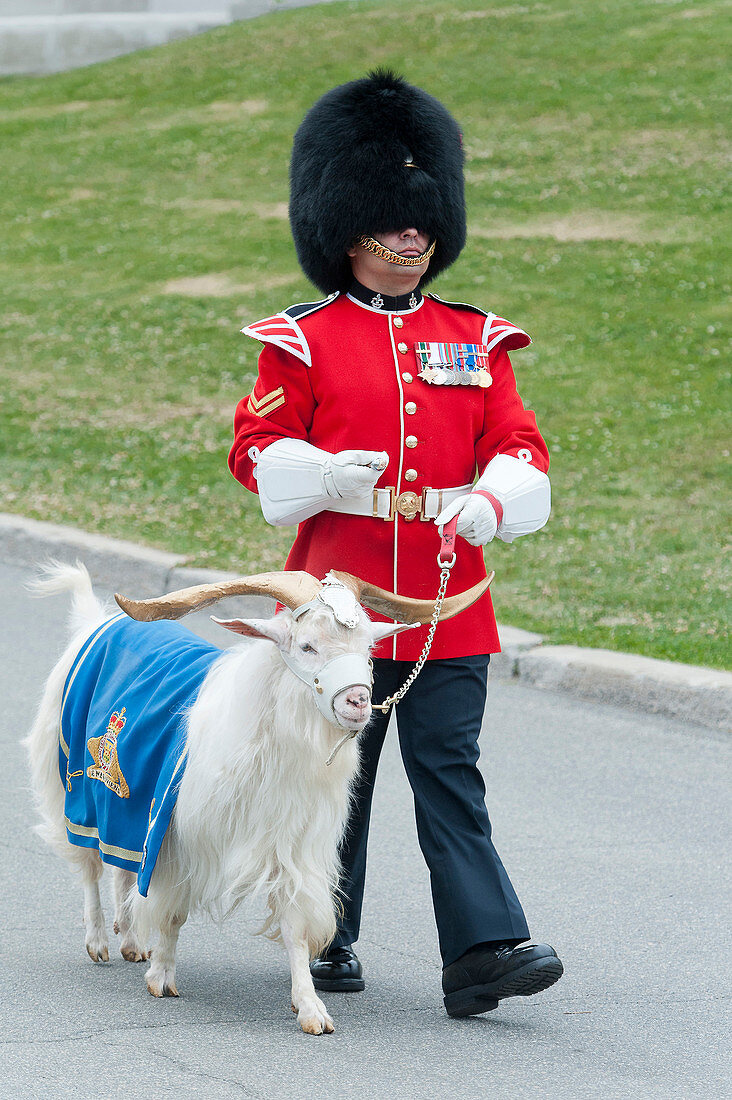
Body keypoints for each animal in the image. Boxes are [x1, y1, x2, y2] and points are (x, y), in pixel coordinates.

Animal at [27, 563, 484, 1034]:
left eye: (368, 649)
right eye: (307, 645)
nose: (358, 702)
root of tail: (97, 623)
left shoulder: (292, 844)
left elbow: (295, 928)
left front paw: (311, 1008)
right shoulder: (174, 836)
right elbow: (172, 911)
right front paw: (162, 977)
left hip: (125, 806)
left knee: (120, 862)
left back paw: (131, 939)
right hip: (70, 784)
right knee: (88, 865)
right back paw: (99, 939)